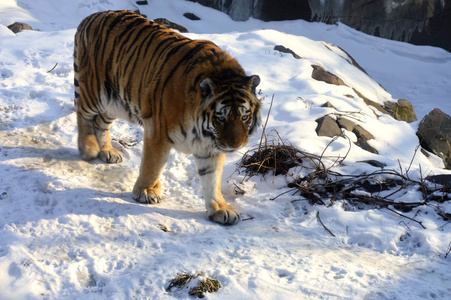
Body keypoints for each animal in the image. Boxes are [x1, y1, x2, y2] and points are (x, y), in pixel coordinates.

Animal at [73, 9, 262, 225]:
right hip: (95, 91)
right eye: (220, 118)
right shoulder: (158, 132)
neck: (202, 130)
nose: (234, 145)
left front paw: (220, 208)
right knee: (82, 113)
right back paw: (89, 148)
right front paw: (146, 191)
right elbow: (153, 166)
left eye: (245, 117)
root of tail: (90, 17)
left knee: (99, 122)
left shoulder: (211, 148)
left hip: (116, 103)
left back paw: (108, 152)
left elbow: (212, 178)